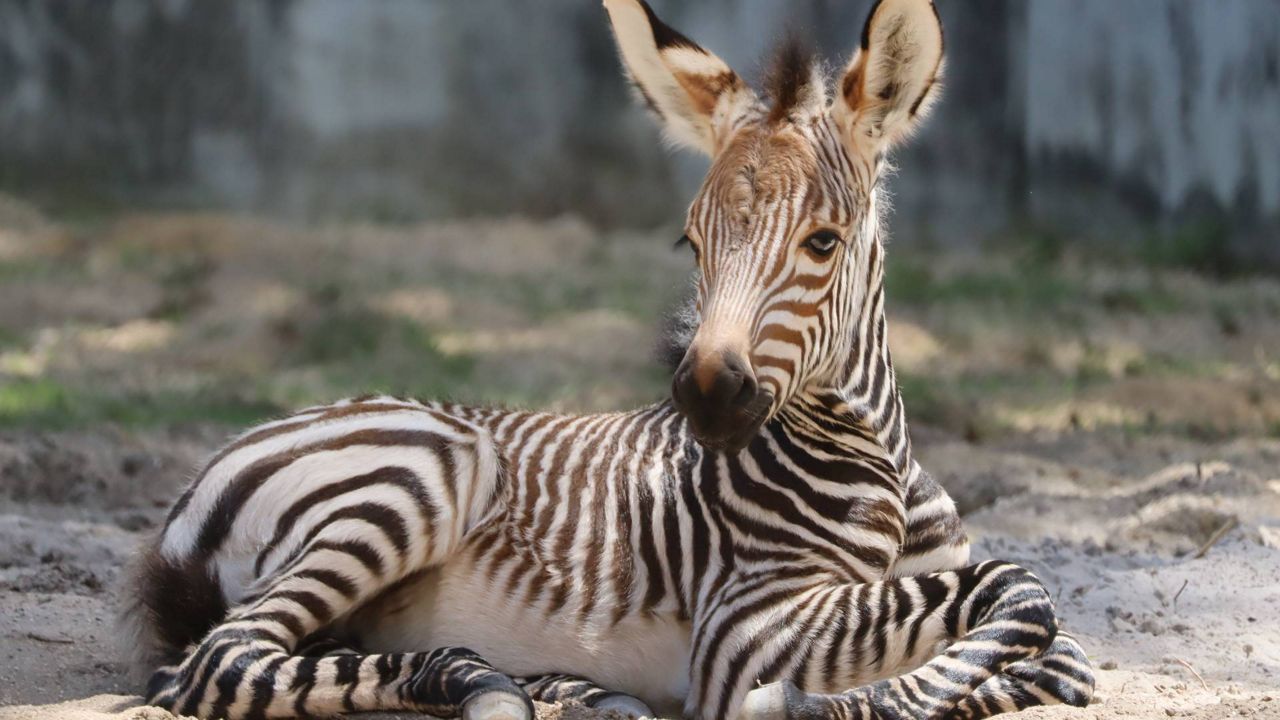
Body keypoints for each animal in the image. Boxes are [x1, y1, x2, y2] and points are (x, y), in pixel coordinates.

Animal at [124, 1, 1095, 717]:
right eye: (691, 243)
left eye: (822, 243)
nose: (705, 395)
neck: (880, 464)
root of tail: (214, 467)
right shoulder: (746, 627)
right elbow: (1024, 587)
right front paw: (826, 703)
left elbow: (1061, 646)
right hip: (424, 471)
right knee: (217, 661)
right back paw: (485, 684)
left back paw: (565, 690)